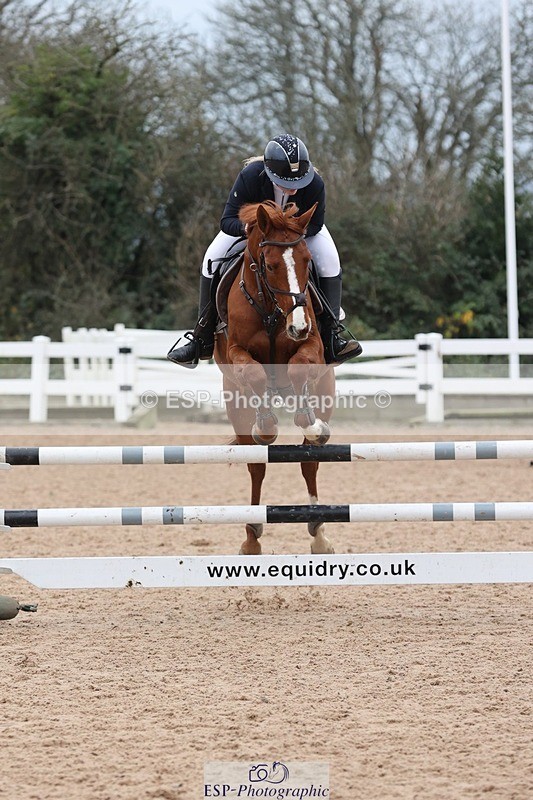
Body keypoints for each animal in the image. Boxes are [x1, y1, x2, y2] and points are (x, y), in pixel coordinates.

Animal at [214, 200, 337, 556]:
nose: (299, 326)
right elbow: (253, 374)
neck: (271, 310)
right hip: (234, 402)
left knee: (309, 460)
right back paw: (251, 536)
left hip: (326, 389)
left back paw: (319, 534)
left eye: (308, 262)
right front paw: (266, 425)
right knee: (256, 464)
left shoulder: (313, 347)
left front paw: (308, 420)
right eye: (268, 266)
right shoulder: (235, 352)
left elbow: (299, 368)